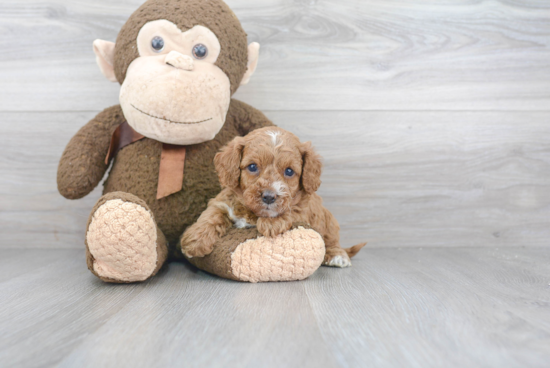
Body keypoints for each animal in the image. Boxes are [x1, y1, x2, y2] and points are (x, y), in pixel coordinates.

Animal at [181, 126, 368, 268]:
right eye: (252, 167)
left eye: (289, 171)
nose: (269, 197)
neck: (253, 213)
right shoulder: (224, 200)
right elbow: (211, 214)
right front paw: (195, 241)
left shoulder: (303, 209)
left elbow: (290, 210)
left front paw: (272, 223)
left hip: (329, 221)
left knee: (332, 240)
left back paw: (338, 256)